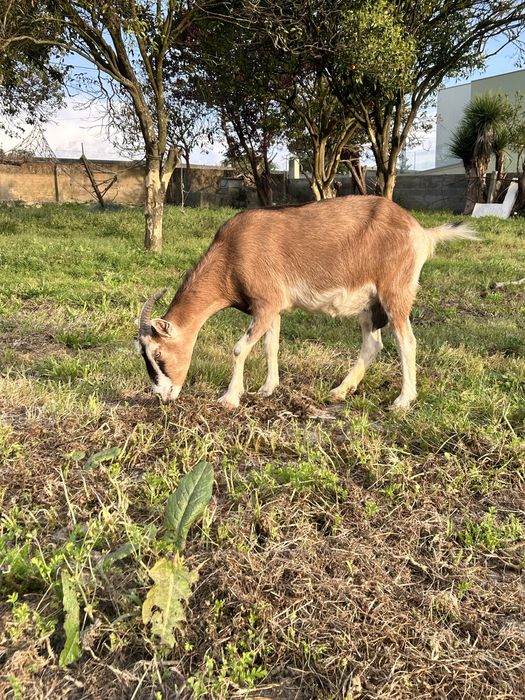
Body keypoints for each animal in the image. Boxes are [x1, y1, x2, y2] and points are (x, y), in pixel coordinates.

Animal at [136, 195, 476, 410]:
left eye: (159, 354)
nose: (162, 396)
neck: (231, 254)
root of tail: (421, 232)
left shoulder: (265, 302)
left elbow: (239, 348)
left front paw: (230, 398)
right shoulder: (272, 308)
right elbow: (270, 346)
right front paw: (267, 389)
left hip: (395, 292)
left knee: (407, 341)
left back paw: (403, 401)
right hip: (370, 304)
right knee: (373, 344)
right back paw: (340, 391)